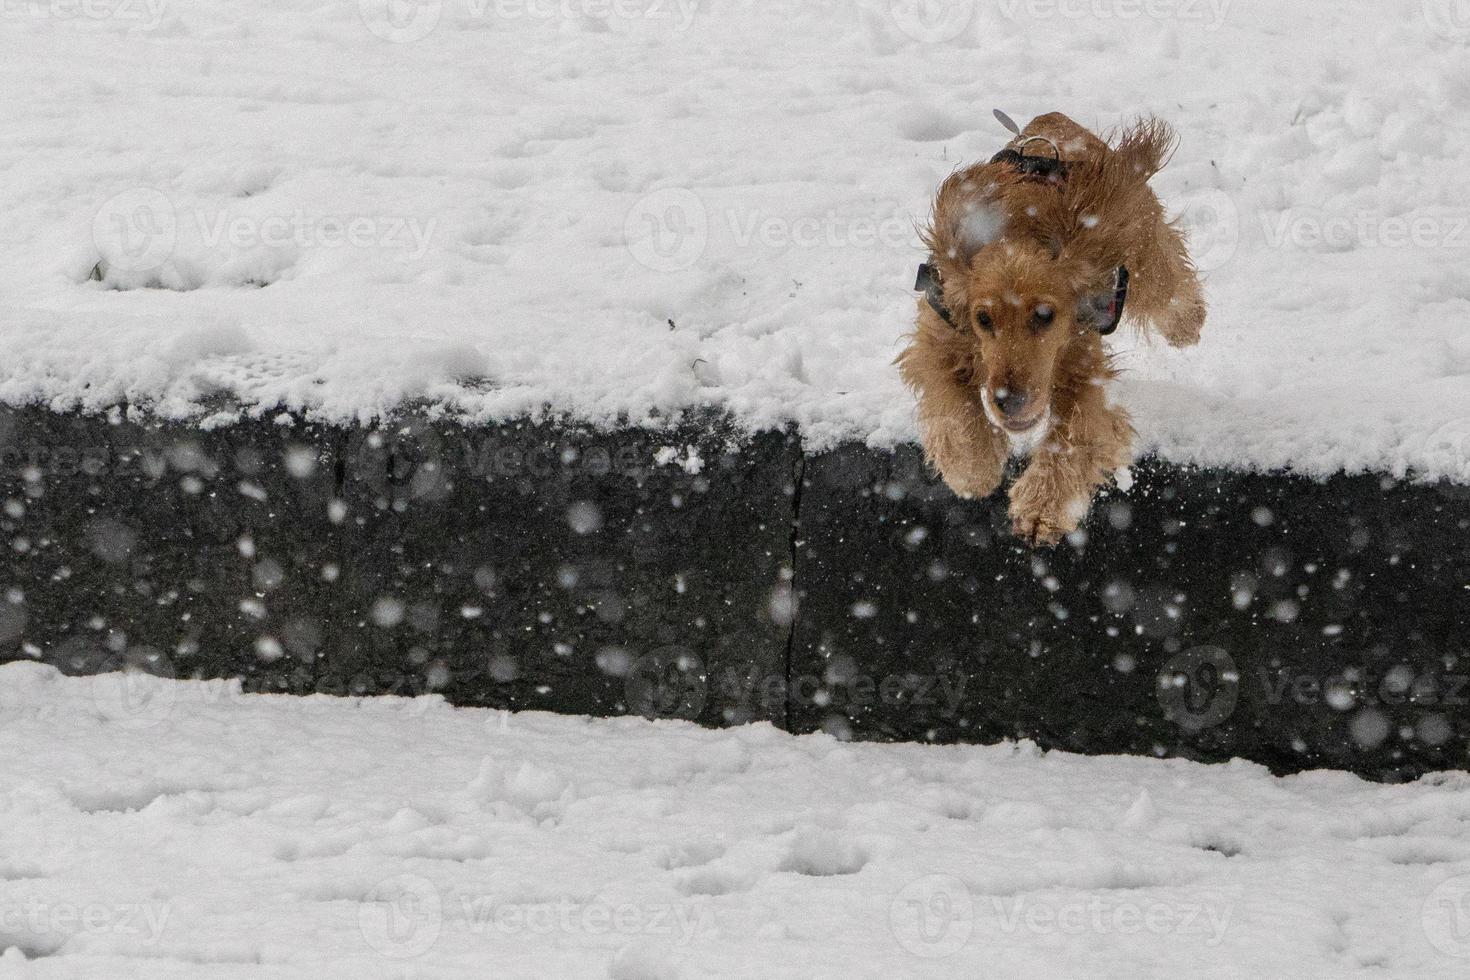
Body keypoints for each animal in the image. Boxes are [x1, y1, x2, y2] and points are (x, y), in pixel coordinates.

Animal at [893, 113, 1205, 552]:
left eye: (1045, 315)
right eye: (983, 319)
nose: (1009, 401)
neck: (1022, 229)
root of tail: (1057, 120)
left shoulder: (1081, 366)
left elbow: (1075, 434)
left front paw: (1041, 510)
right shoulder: (940, 335)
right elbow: (951, 401)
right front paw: (974, 466)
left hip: (1139, 243)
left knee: (1168, 282)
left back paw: (1187, 322)